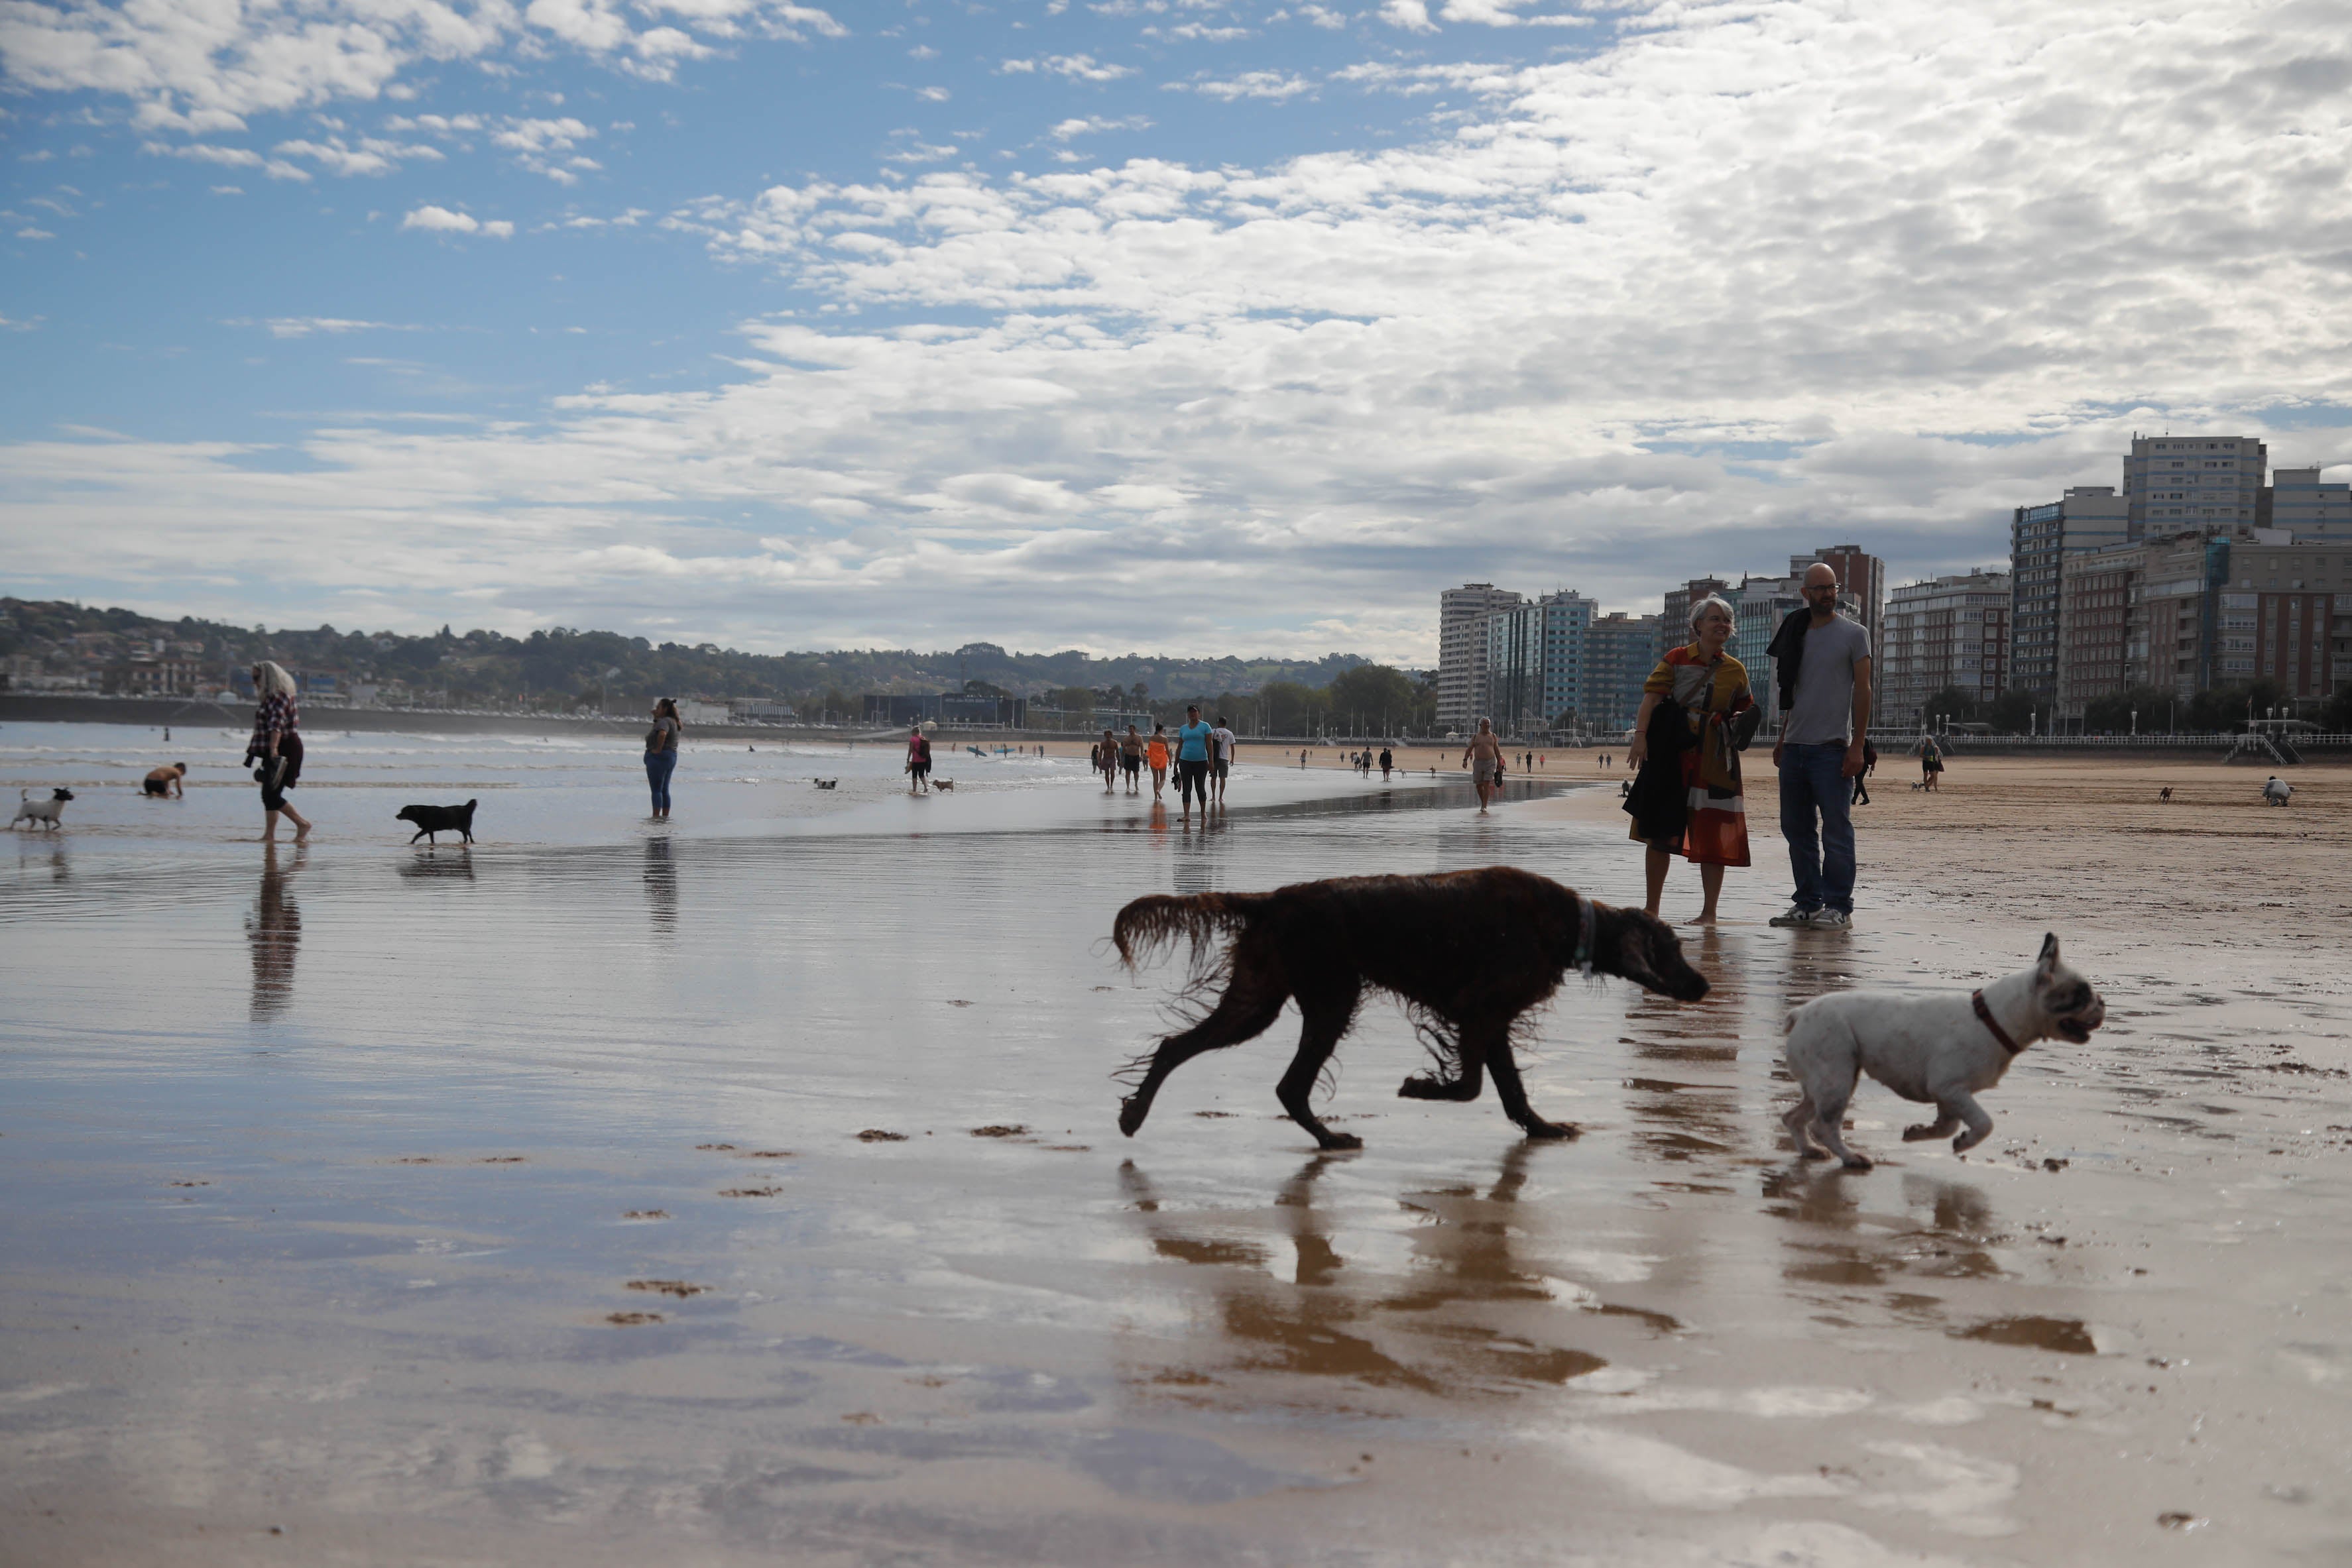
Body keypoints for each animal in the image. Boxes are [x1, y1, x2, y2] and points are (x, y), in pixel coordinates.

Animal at [1114, 869, 1712, 1152]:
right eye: (1674, 948)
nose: (1705, 986)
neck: (1567, 921)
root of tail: (1273, 899)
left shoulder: (1493, 1018)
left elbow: (1511, 1091)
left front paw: (1541, 1127)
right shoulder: (1479, 1009)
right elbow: (1470, 1085)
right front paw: (1421, 1088)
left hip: (1260, 996)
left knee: (1178, 1048)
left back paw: (1134, 1114)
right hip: (1330, 998)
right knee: (1288, 1084)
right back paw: (1330, 1138)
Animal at [1778, 930, 2117, 1166]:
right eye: (2082, 994)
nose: (2102, 1002)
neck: (1994, 1018)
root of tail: (1800, 1013)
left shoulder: (1948, 1096)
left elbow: (1948, 1126)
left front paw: (1920, 1133)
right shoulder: (1951, 1089)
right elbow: (1984, 1122)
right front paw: (1966, 1142)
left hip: (1828, 1082)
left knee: (1795, 1117)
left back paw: (1809, 1150)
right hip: (1836, 1077)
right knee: (1824, 1125)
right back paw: (1850, 1157)